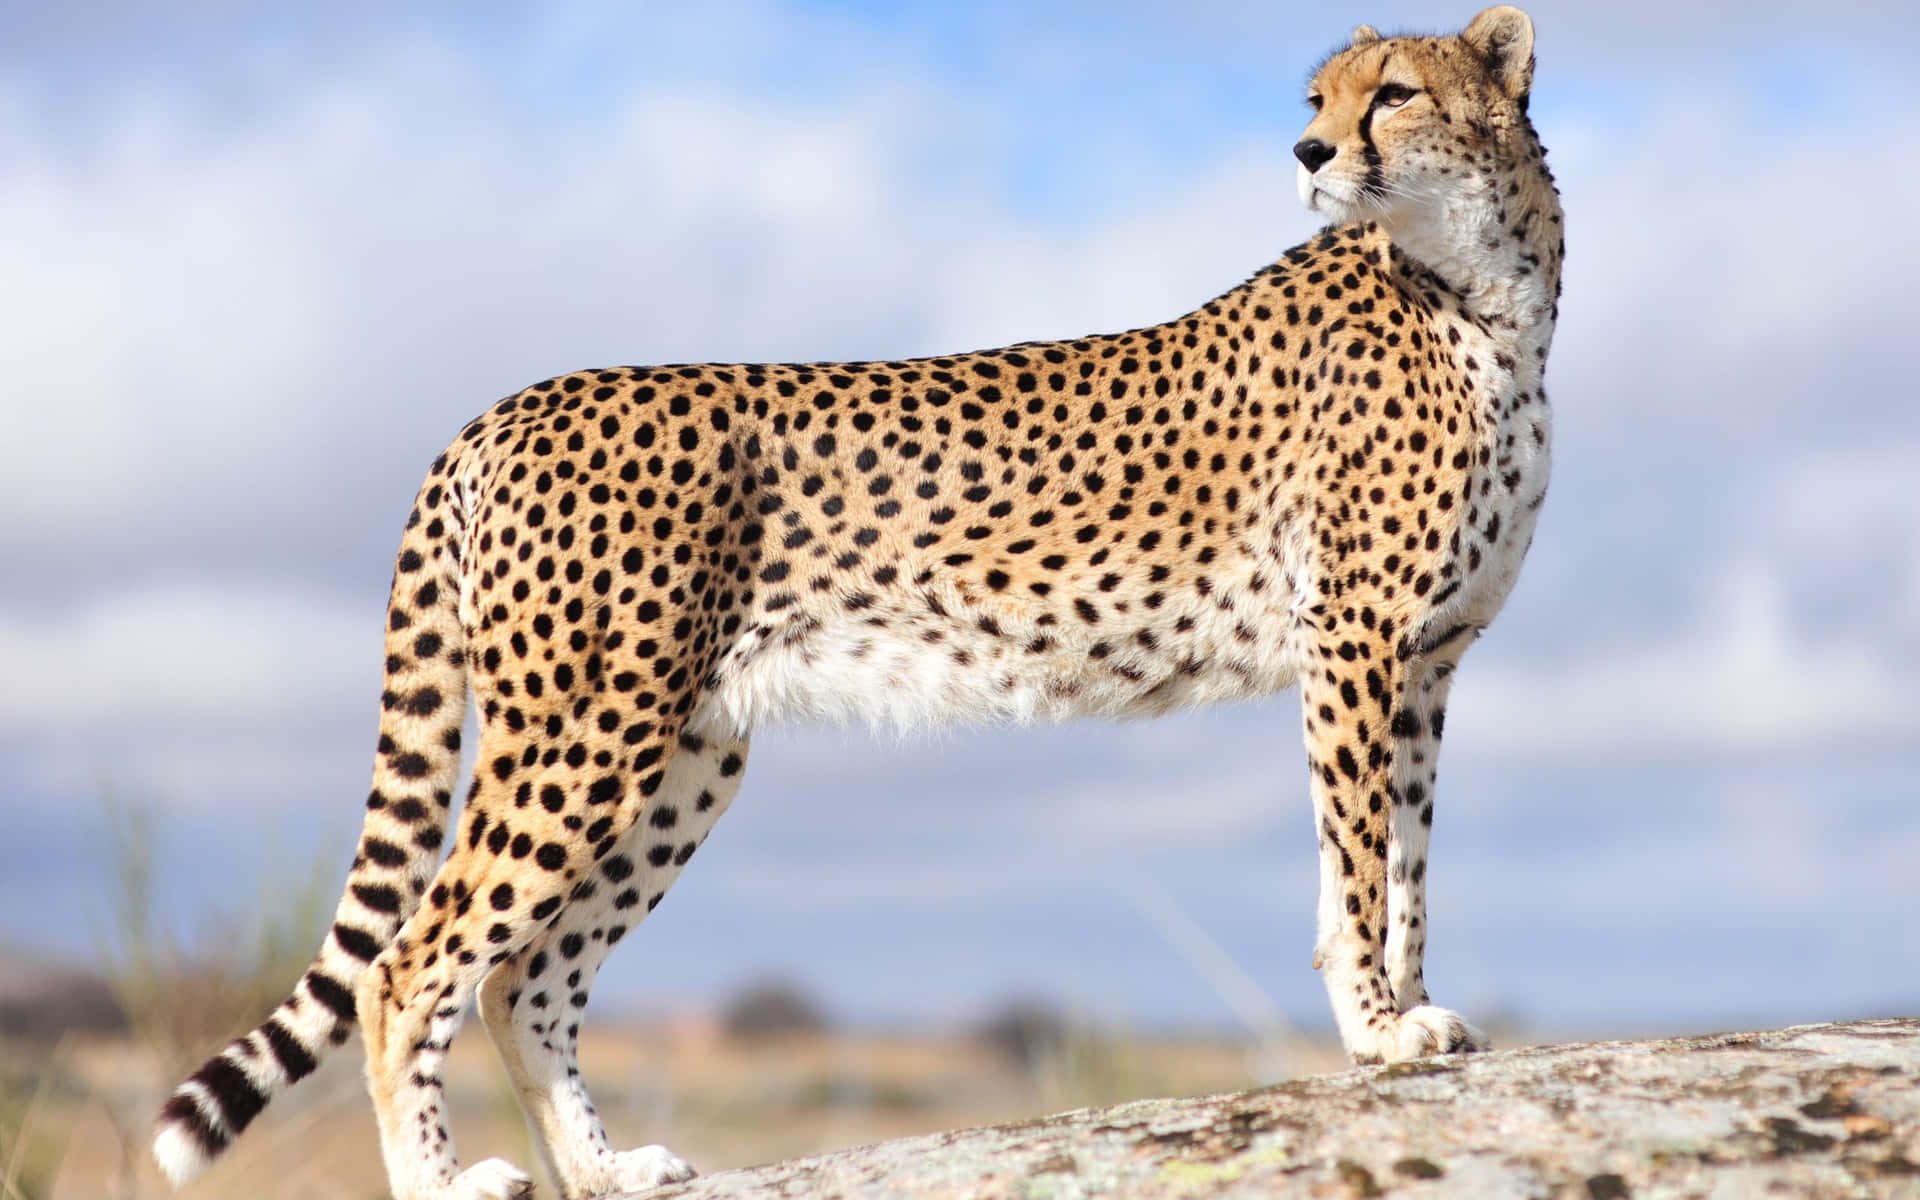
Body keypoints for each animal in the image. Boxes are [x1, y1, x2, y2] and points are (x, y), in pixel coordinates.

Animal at [153, 9, 1559, 1198]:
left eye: (1393, 92)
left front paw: (1412, 1016)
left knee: (527, 980)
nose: (1309, 150)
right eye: (1318, 99)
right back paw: (448, 1181)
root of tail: (506, 406)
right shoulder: (1356, 646)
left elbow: (1403, 860)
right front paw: (1375, 1032)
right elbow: (1359, 862)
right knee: (411, 966)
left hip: (685, 755)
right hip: (587, 731)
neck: (1487, 294)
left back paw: (605, 1171)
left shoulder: (1426, 660)